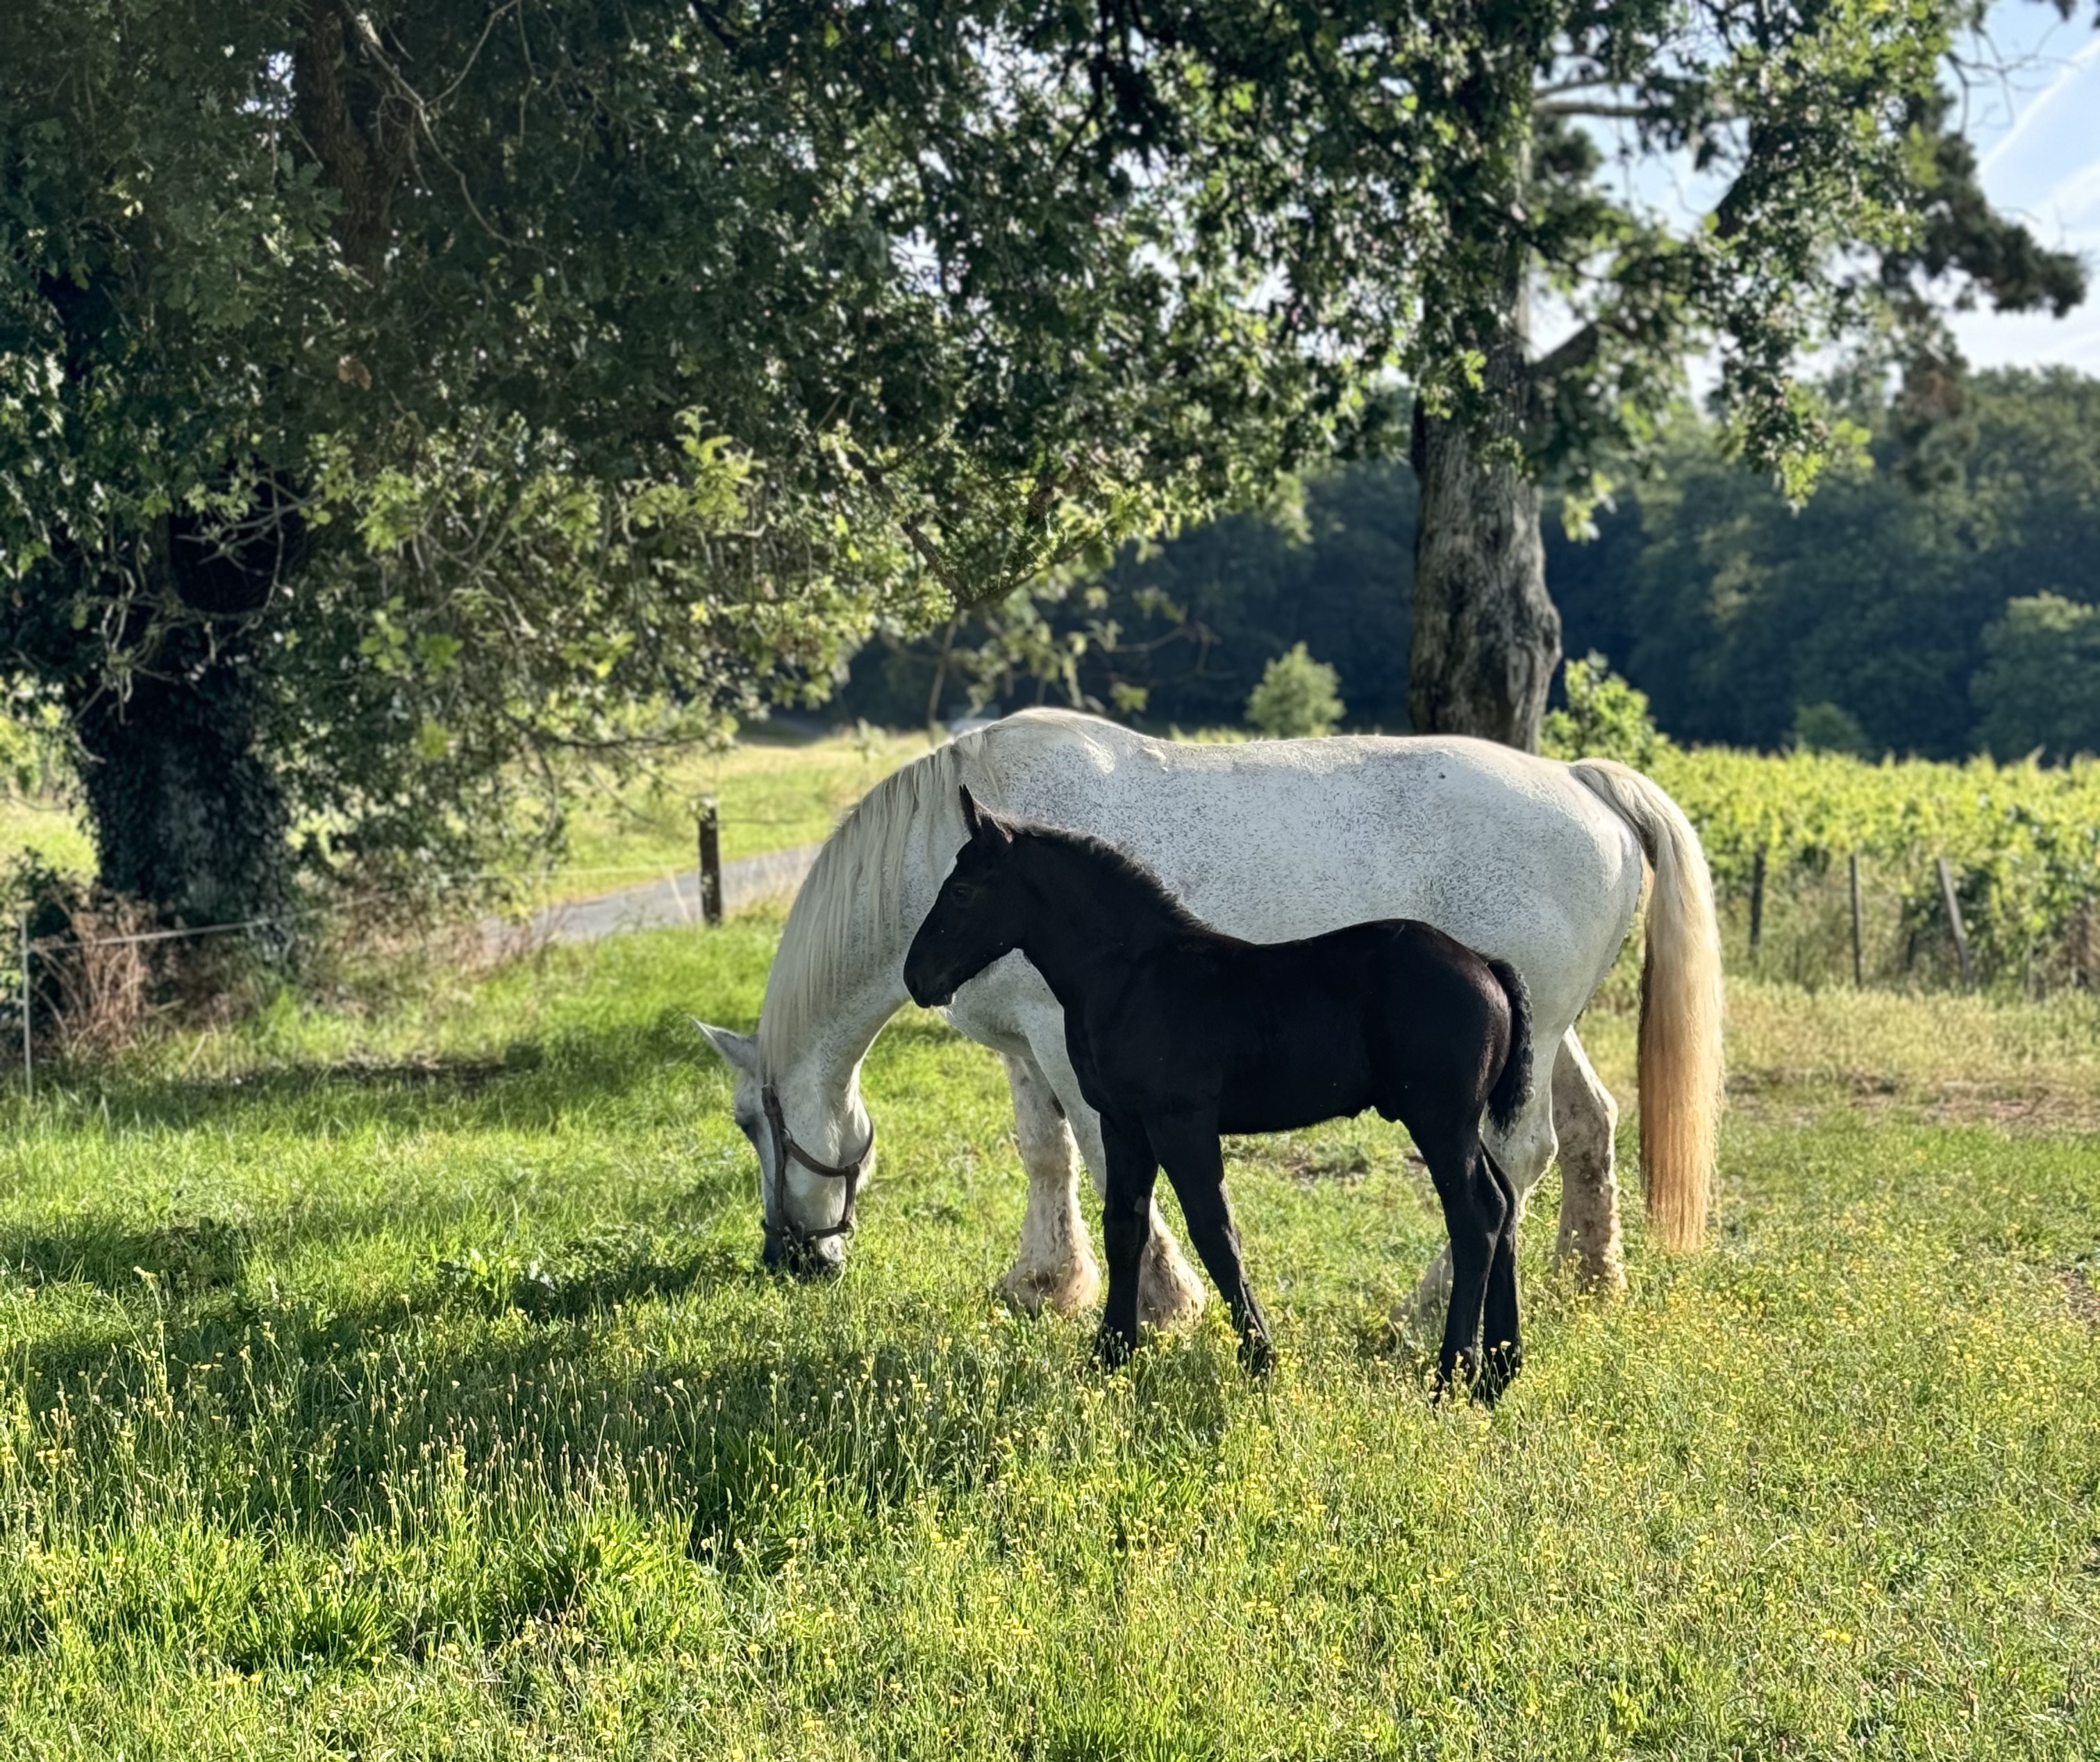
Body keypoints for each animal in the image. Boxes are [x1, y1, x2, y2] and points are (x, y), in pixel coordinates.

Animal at [695, 708, 1721, 1325]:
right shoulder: (1026, 1050)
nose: (788, 1257)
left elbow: (1109, 1164)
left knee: (1518, 1158)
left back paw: (1431, 1303)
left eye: (750, 1122)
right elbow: (1045, 1153)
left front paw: (1159, 1299)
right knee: (1588, 1126)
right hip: (1541, 1031)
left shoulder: (1078, 1058)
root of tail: (1582, 782)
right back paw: (1589, 1276)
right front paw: (1046, 1283)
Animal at [904, 788, 1537, 1393]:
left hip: (1439, 1120)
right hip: (1459, 1123)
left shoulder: (1179, 1122)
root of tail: (1485, 963)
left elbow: (1215, 1233)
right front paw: (1108, 1357)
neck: (1132, 976)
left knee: (1476, 1215)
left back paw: (1452, 1373)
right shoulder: (1123, 1122)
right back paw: (1499, 1370)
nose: (917, 976)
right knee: (1504, 1202)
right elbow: (1124, 1229)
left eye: (961, 890)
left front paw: (1260, 1359)